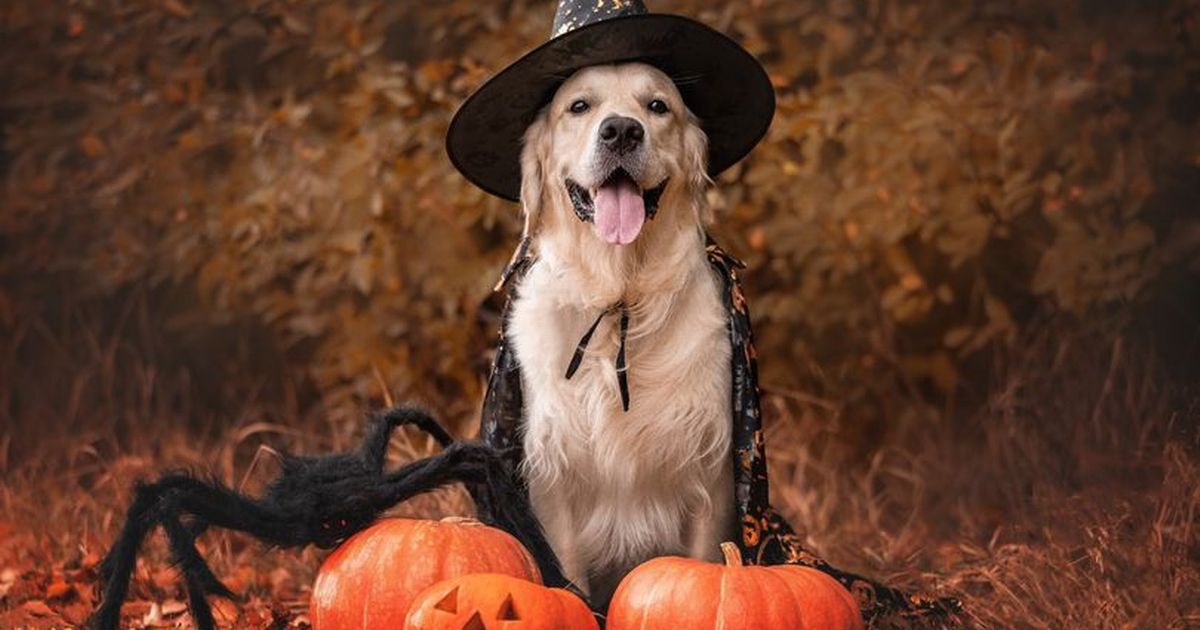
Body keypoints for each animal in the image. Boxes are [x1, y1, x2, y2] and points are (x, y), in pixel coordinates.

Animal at [506, 62, 729, 604]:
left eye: (658, 106)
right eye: (579, 106)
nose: (622, 131)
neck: (618, 298)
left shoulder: (710, 474)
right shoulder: (554, 478)